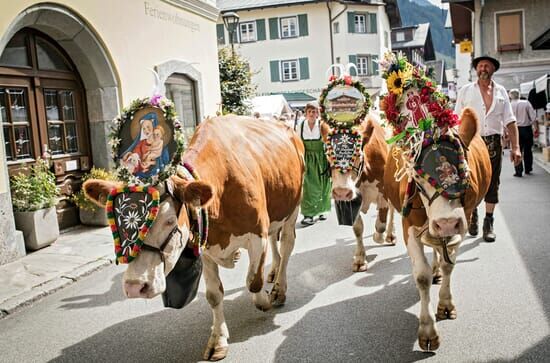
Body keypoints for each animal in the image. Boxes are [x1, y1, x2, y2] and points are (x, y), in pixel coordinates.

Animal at [85, 116, 306, 362]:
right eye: (117, 222)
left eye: (169, 220)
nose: (135, 286)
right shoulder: (207, 246)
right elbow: (214, 295)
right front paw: (218, 340)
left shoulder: (258, 235)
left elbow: (253, 281)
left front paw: (264, 301)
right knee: (276, 244)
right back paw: (273, 271)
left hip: (293, 207)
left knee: (286, 245)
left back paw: (279, 288)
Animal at [324, 115, 396, 272]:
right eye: (328, 155)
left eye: (357, 155)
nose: (341, 192)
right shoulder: (351, 198)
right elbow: (358, 229)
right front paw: (360, 259)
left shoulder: (383, 192)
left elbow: (380, 224)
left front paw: (379, 236)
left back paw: (390, 235)